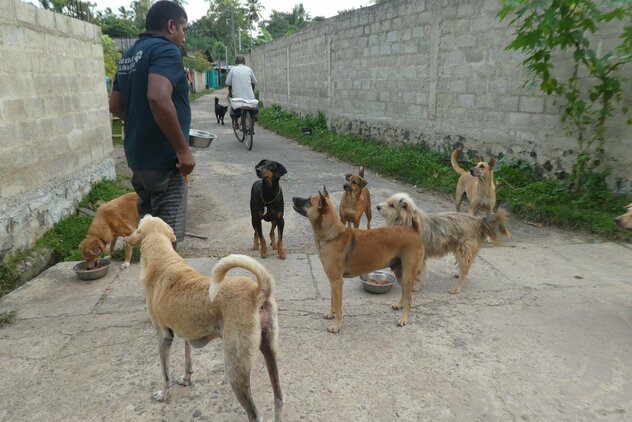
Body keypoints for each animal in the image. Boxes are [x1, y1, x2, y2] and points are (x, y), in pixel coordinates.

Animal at [124, 216, 282, 420]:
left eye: (137, 227)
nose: (124, 239)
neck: (163, 259)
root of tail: (257, 291)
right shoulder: (185, 331)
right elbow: (187, 359)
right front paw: (186, 379)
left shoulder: (164, 337)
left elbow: (165, 374)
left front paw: (164, 395)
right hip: (269, 350)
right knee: (279, 399)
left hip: (235, 367)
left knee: (255, 414)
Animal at [292, 187, 424, 332]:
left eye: (308, 201)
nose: (292, 198)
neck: (333, 234)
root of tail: (414, 231)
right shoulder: (333, 282)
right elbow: (333, 300)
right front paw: (331, 314)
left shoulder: (337, 282)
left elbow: (338, 305)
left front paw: (337, 325)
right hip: (399, 272)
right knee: (405, 293)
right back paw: (400, 305)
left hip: (408, 275)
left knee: (409, 298)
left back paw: (403, 318)